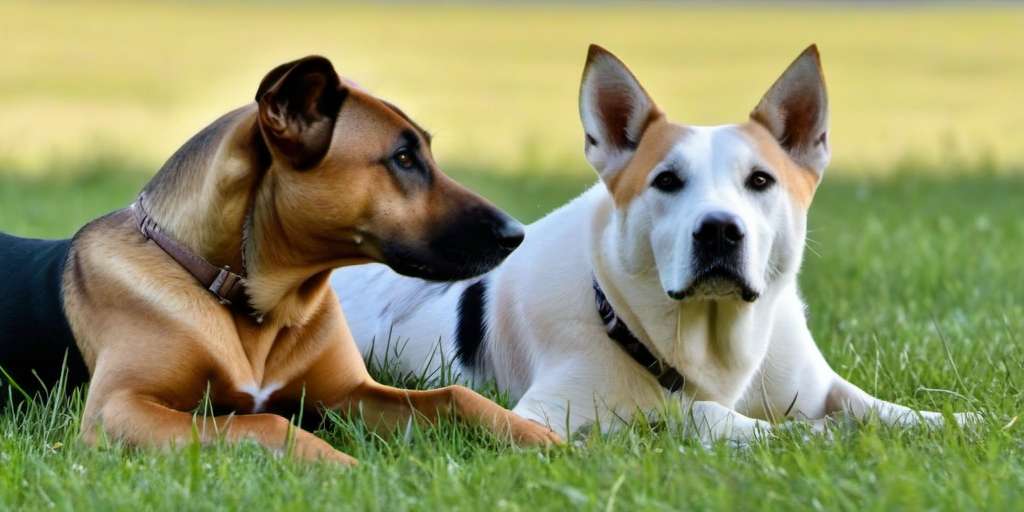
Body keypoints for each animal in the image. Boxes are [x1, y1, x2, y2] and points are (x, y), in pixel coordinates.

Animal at [0, 56, 561, 464]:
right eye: (402, 159)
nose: (517, 234)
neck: (256, 306)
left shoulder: (350, 393)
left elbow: (455, 395)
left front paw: (546, 440)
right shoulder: (116, 410)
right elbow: (267, 421)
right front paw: (344, 466)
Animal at [333, 46, 974, 442]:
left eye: (760, 181)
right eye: (667, 180)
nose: (719, 230)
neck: (709, 339)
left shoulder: (815, 383)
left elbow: (881, 408)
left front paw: (952, 421)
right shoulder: (553, 415)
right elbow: (693, 416)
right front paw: (798, 434)